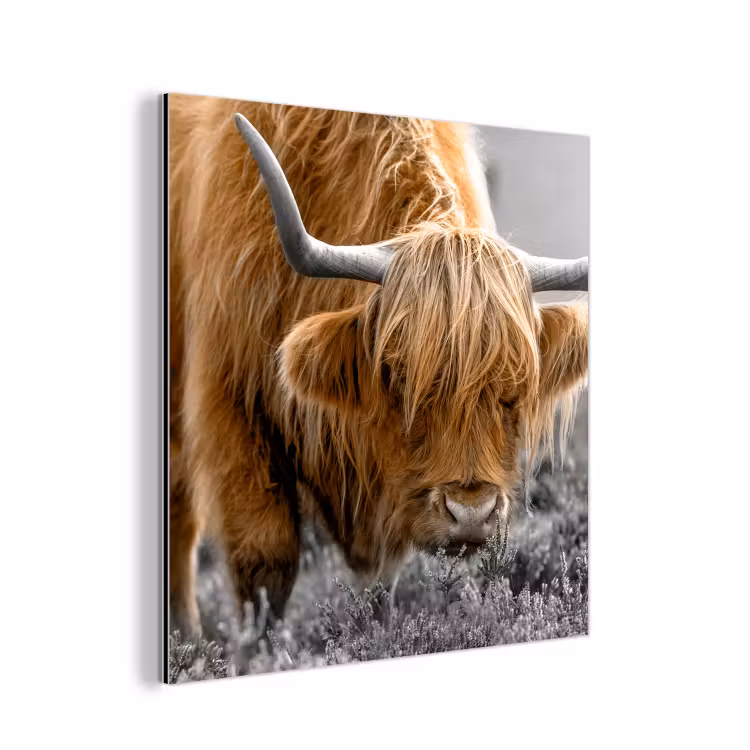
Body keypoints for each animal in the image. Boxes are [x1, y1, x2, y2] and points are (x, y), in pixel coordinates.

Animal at [168, 94, 588, 638]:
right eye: (398, 376)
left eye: (512, 387)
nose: (471, 514)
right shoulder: (234, 407)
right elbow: (264, 561)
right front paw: (261, 650)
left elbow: (382, 582)